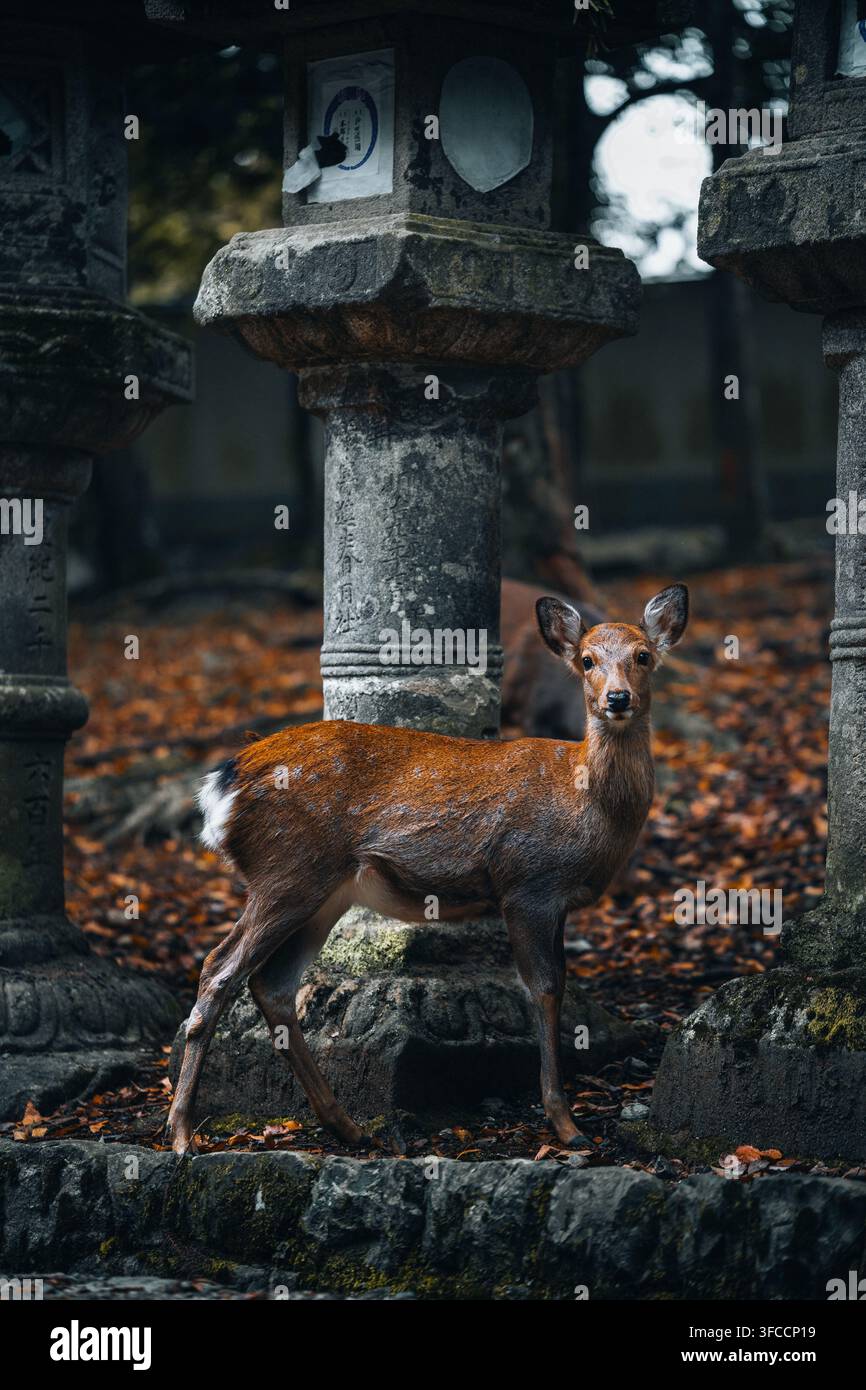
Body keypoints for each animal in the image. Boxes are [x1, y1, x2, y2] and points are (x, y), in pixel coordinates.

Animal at [167, 583, 688, 1156]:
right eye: (588, 660)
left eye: (643, 656)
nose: (618, 699)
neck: (587, 803)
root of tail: (224, 785)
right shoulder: (527, 885)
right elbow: (546, 989)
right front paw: (566, 1125)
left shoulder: (556, 902)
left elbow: (558, 983)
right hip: (286, 870)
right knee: (220, 969)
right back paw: (182, 1134)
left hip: (323, 889)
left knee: (273, 985)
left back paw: (347, 1125)